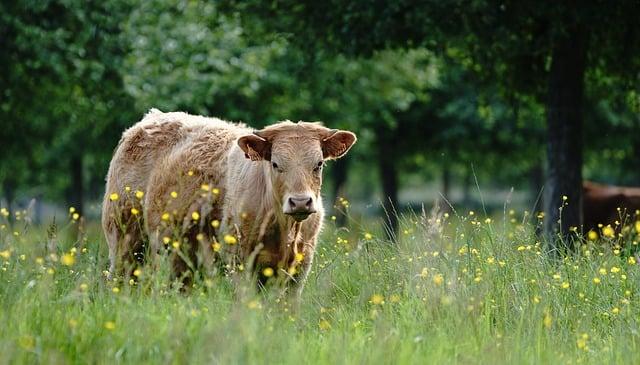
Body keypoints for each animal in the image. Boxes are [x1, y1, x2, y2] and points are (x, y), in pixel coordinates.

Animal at [102, 109, 358, 296]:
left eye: (319, 164)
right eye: (275, 164)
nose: (301, 202)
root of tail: (149, 119)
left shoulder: (300, 267)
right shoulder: (240, 260)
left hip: (182, 253)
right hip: (125, 239)